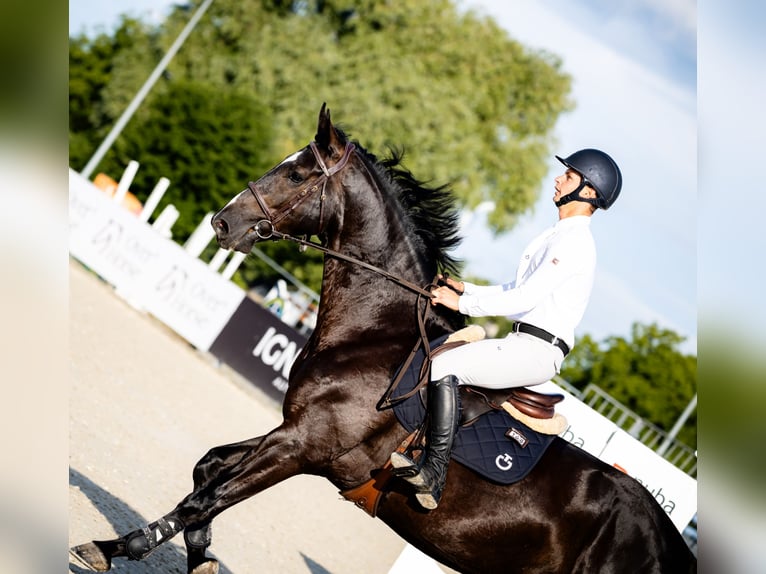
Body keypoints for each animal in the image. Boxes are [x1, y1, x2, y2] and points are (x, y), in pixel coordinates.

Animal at [71, 104, 696, 573]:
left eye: (297, 174)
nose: (223, 224)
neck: (369, 334)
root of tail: (672, 543)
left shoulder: (303, 446)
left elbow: (206, 496)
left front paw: (112, 547)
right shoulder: (296, 432)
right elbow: (208, 469)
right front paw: (199, 555)